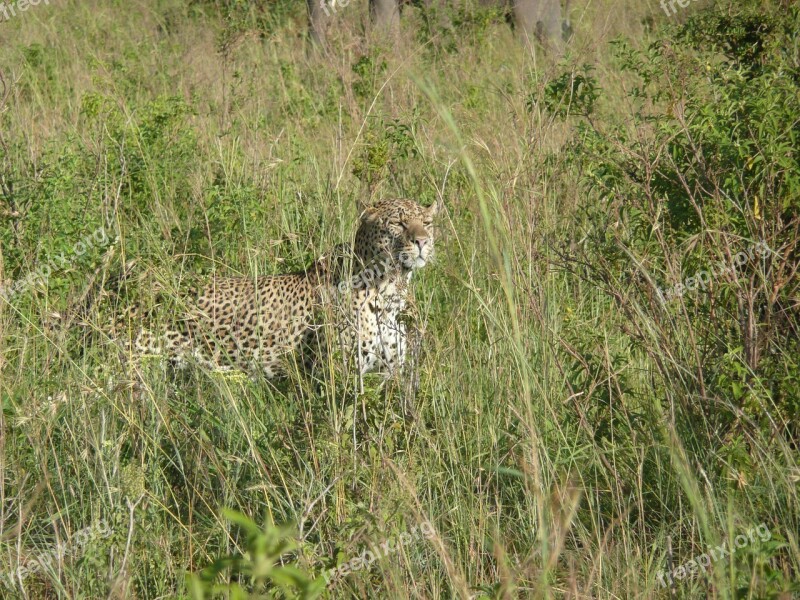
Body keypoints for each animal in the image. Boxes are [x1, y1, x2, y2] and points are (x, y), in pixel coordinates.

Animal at [130, 197, 438, 378]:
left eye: (427, 223)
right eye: (397, 223)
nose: (422, 241)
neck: (390, 289)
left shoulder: (390, 373)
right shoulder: (340, 375)